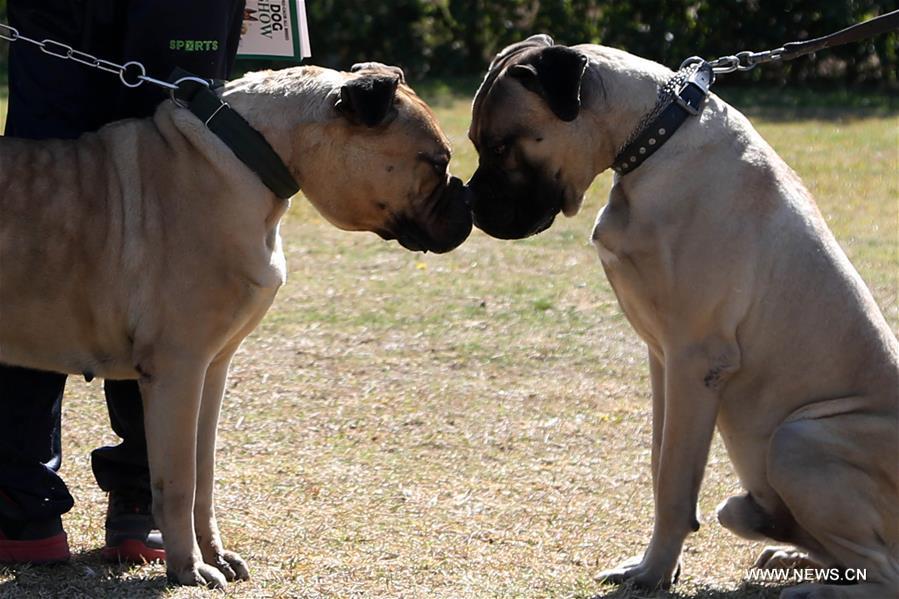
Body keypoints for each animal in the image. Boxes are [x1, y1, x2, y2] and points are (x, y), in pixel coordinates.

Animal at [0, 63, 474, 588]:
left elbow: (203, 474)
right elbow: (179, 480)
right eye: (436, 161)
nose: (470, 206)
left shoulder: (212, 370)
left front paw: (215, 554)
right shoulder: (179, 370)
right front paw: (188, 567)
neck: (251, 155)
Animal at [464, 35, 899, 596]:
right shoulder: (661, 359)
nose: (470, 206)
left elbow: (673, 481)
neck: (652, 138)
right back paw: (788, 552)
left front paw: (652, 573)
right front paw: (656, 565)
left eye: (499, 146)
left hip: (799, 438)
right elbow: (658, 463)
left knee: (886, 570)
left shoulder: (695, 360)